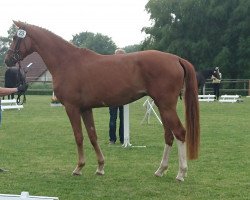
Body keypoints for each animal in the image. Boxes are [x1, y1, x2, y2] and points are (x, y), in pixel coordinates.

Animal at [4, 21, 200, 182]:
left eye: (15, 37)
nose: (7, 59)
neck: (67, 61)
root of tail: (176, 58)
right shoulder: (85, 108)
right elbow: (92, 136)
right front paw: (100, 167)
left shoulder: (72, 108)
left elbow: (79, 136)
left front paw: (79, 168)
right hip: (161, 106)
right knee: (169, 136)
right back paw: (160, 170)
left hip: (166, 106)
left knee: (180, 133)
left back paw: (181, 173)